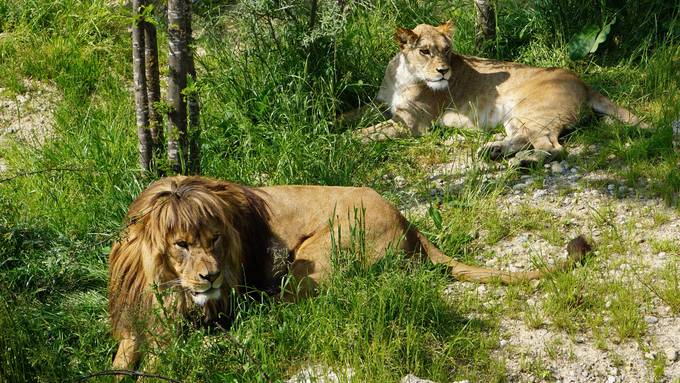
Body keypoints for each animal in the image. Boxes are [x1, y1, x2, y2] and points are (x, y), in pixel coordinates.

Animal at [109, 176, 588, 370]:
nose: (211, 277)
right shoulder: (139, 319)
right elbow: (123, 359)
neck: (169, 290)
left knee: (281, 315)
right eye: (182, 244)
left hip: (312, 257)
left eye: (215, 240)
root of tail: (408, 221)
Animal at [356, 22, 648, 164]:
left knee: (553, 148)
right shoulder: (380, 104)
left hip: (530, 112)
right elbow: (356, 116)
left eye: (447, 50)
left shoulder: (412, 124)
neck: (404, 75)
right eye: (425, 51)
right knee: (525, 139)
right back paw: (494, 151)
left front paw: (346, 144)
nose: (443, 71)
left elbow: (367, 134)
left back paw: (523, 162)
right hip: (517, 117)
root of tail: (582, 81)